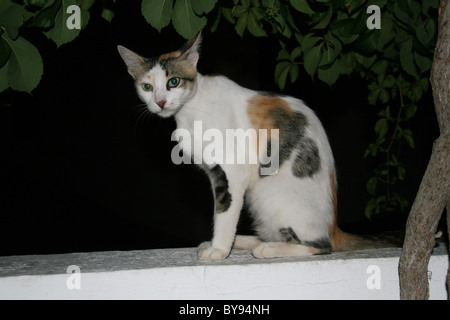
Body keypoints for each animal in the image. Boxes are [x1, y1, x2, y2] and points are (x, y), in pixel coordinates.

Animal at [117, 31, 370, 260]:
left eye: (173, 82)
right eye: (147, 87)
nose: (160, 102)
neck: (191, 109)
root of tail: (333, 228)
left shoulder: (232, 173)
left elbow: (225, 211)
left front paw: (219, 250)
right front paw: (222, 245)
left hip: (270, 195)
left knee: (320, 246)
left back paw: (268, 249)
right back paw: (245, 242)